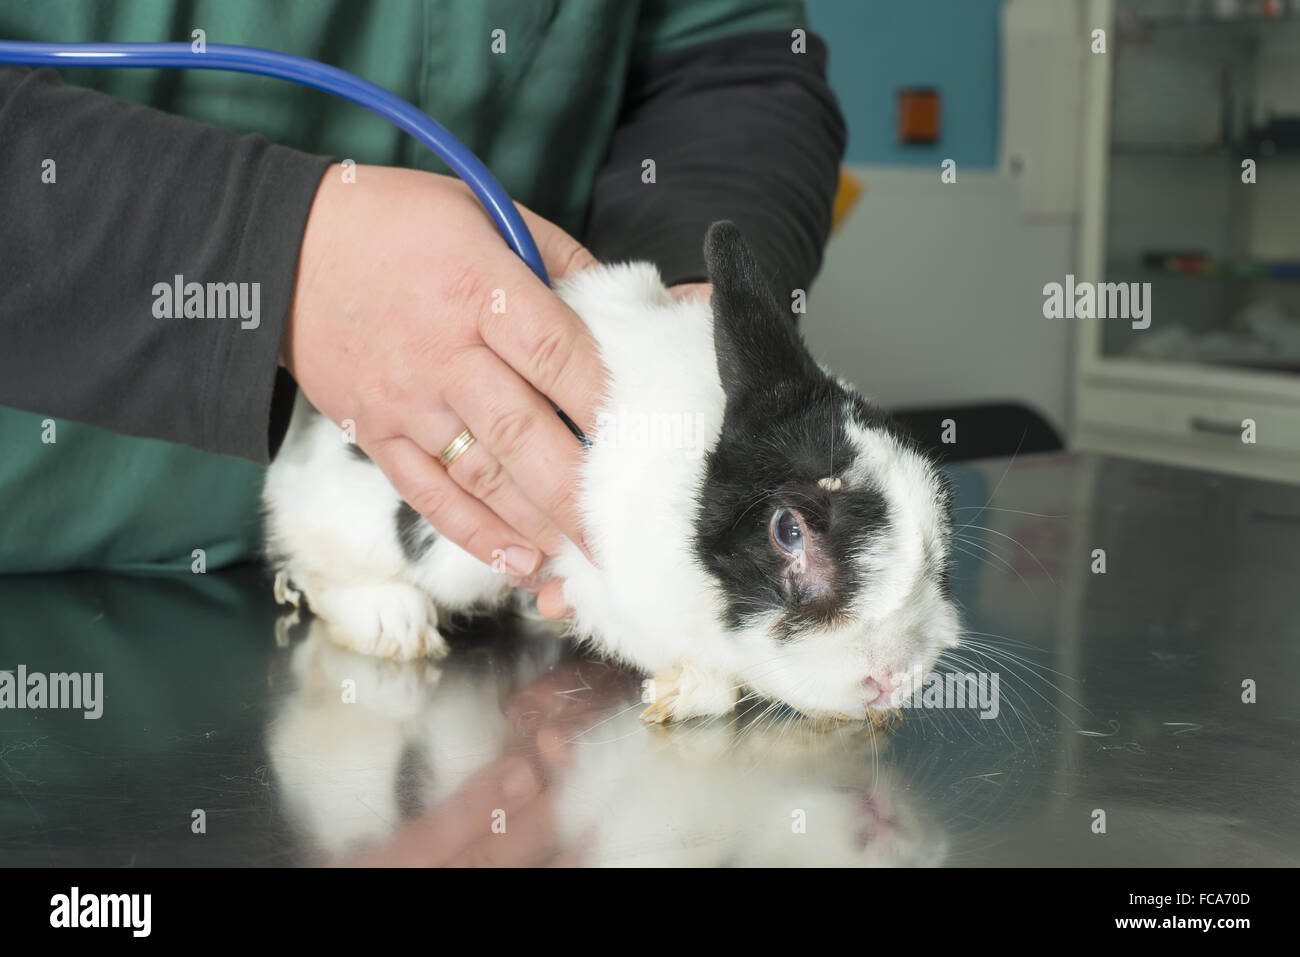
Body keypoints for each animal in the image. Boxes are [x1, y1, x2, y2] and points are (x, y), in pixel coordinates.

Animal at [263, 221, 960, 723]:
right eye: (788, 531)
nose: (890, 680)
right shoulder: (611, 589)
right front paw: (682, 693)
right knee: (316, 567)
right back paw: (394, 623)